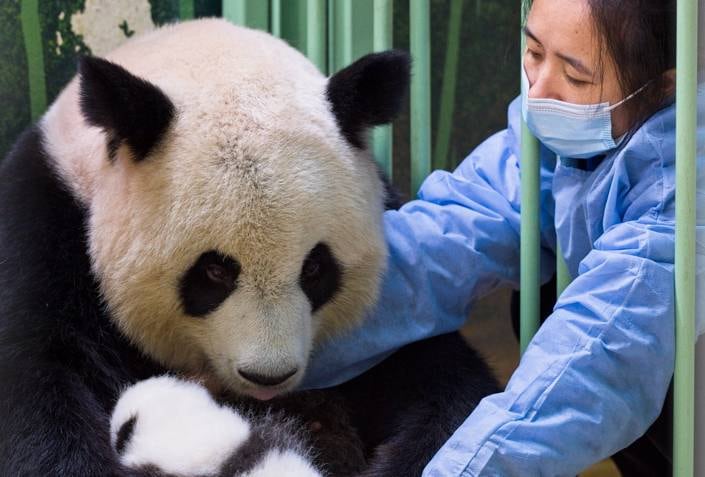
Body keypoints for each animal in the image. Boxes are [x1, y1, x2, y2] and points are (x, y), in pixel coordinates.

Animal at [0, 19, 499, 477]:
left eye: (315, 268)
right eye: (215, 271)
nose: (267, 376)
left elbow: (442, 379)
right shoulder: (45, 229)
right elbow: (38, 386)